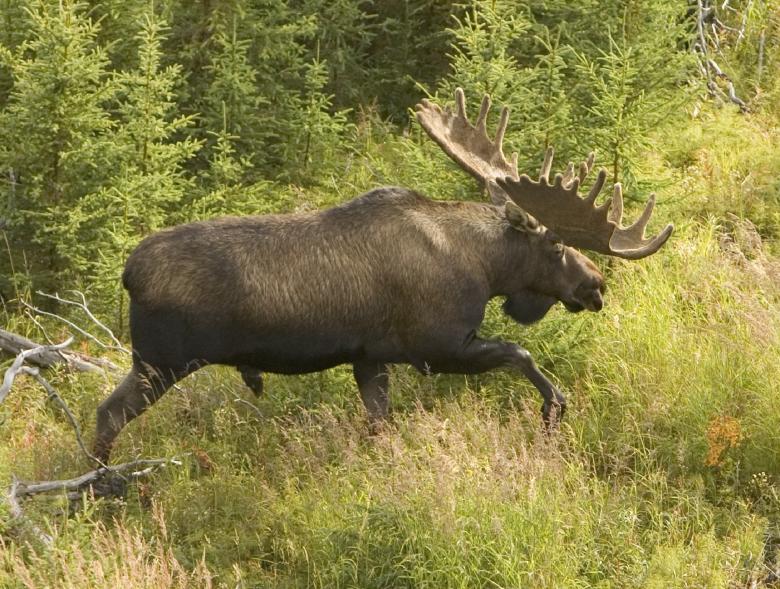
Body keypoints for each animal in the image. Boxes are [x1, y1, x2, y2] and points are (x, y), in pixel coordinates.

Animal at [93, 89, 673, 462]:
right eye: (555, 244)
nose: (595, 285)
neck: (484, 267)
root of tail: (128, 273)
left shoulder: (370, 357)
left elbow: (379, 424)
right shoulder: (435, 345)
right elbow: (520, 352)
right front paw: (554, 411)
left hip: (154, 362)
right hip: (161, 361)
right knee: (107, 415)